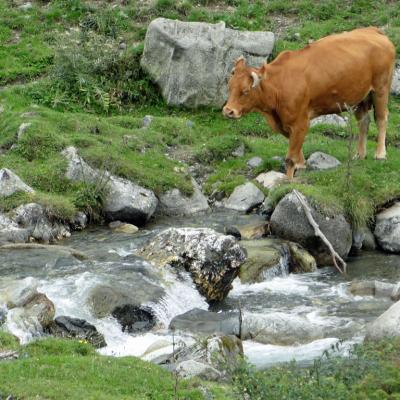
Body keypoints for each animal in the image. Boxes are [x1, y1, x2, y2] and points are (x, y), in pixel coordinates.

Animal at [223, 28, 396, 178]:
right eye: (229, 86)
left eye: (245, 91)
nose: (228, 111)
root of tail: (373, 30)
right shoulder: (286, 122)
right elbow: (295, 146)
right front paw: (301, 165)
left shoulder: (300, 121)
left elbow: (290, 157)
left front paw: (289, 179)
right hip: (360, 96)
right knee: (364, 122)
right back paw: (359, 154)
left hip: (381, 88)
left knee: (381, 118)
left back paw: (380, 154)